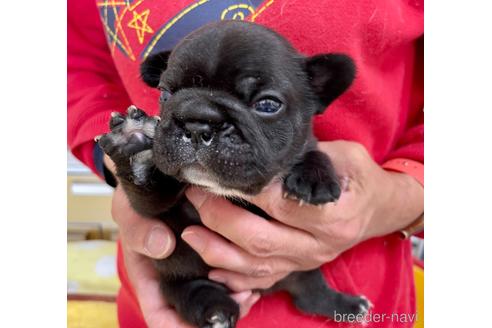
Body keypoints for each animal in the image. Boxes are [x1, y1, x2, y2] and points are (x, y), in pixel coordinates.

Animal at [99, 20, 368, 328]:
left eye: (267, 105)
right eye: (165, 94)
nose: (198, 122)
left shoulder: (306, 144)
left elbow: (313, 151)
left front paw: (315, 180)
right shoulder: (160, 209)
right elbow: (148, 194)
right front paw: (136, 152)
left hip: (304, 269)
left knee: (311, 295)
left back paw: (348, 305)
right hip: (180, 278)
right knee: (193, 291)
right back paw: (215, 312)